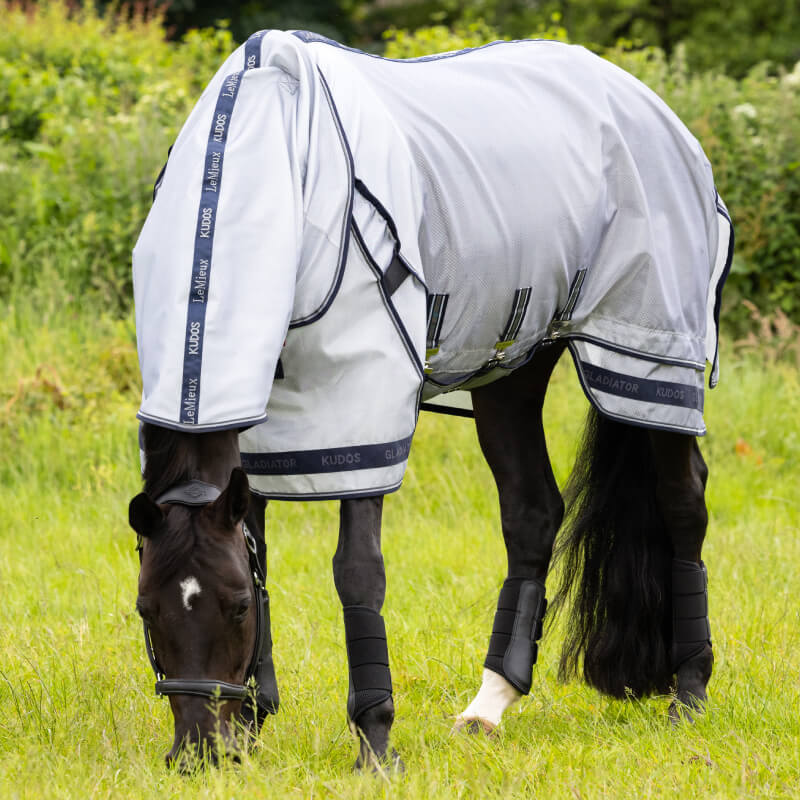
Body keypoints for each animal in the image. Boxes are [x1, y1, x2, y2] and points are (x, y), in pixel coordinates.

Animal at [129, 30, 732, 769]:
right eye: (147, 610)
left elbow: (357, 573)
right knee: (533, 515)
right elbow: (259, 546)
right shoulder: (253, 429)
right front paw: (254, 720)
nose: (198, 753)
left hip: (649, 362)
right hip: (512, 371)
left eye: (236, 607)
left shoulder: (363, 411)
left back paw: (690, 691)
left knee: (684, 505)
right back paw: (489, 704)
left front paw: (374, 742)